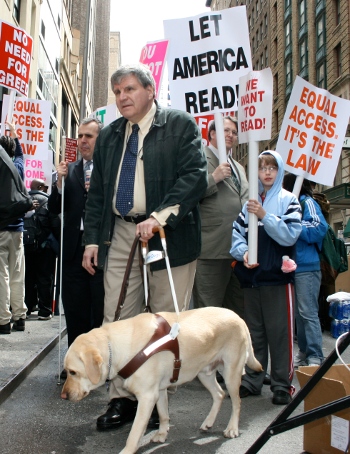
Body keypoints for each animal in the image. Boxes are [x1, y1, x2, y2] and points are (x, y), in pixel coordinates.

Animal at [60, 306, 262, 452]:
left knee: (236, 402)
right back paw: (208, 423)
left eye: (73, 372)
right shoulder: (160, 390)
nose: (63, 396)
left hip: (231, 373)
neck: (118, 346)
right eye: (68, 371)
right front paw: (162, 434)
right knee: (219, 394)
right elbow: (164, 414)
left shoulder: (147, 397)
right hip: (204, 373)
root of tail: (239, 317)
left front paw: (128, 449)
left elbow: (134, 432)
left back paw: (232, 428)